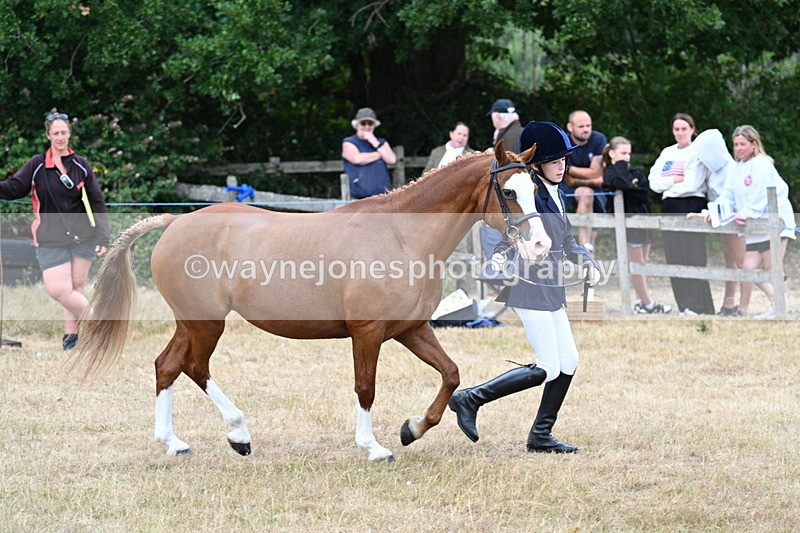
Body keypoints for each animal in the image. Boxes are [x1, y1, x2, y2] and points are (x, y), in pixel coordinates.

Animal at [70, 140, 551, 462]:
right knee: (193, 367)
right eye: (509, 192)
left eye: (536, 189)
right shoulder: (367, 333)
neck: (402, 236)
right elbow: (365, 387)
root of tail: (174, 222)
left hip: (191, 322)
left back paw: (174, 443)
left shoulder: (411, 330)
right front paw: (373, 447)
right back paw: (239, 435)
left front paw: (412, 430)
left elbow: (451, 374)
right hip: (206, 323)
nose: (541, 245)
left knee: (166, 366)